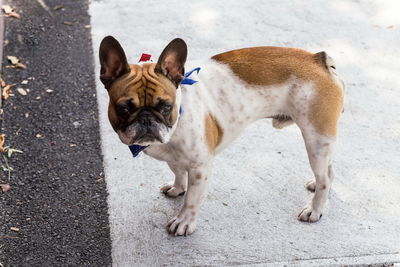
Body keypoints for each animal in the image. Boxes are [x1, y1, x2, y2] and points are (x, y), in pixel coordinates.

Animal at [97, 35, 344, 237]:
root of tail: (318, 60)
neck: (180, 114)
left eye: (165, 106)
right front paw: (177, 188)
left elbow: (192, 199)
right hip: (321, 143)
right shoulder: (173, 158)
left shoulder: (200, 168)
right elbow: (177, 171)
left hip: (316, 137)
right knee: (328, 171)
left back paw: (314, 209)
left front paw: (184, 222)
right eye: (124, 108)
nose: (146, 119)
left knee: (324, 178)